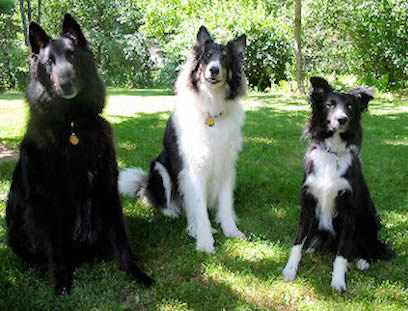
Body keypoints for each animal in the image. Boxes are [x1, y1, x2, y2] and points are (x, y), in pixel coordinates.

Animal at [5, 14, 153, 296]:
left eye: (71, 55)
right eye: (49, 62)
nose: (66, 84)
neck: (72, 126)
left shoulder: (106, 188)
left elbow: (121, 238)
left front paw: (135, 272)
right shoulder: (49, 201)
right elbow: (56, 248)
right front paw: (61, 281)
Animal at [282, 77, 394, 292]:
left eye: (349, 106)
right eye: (329, 105)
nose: (342, 119)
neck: (331, 152)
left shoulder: (348, 211)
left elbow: (342, 252)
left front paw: (338, 281)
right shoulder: (308, 204)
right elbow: (297, 242)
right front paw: (290, 270)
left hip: (369, 220)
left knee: (369, 248)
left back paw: (363, 261)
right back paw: (313, 248)